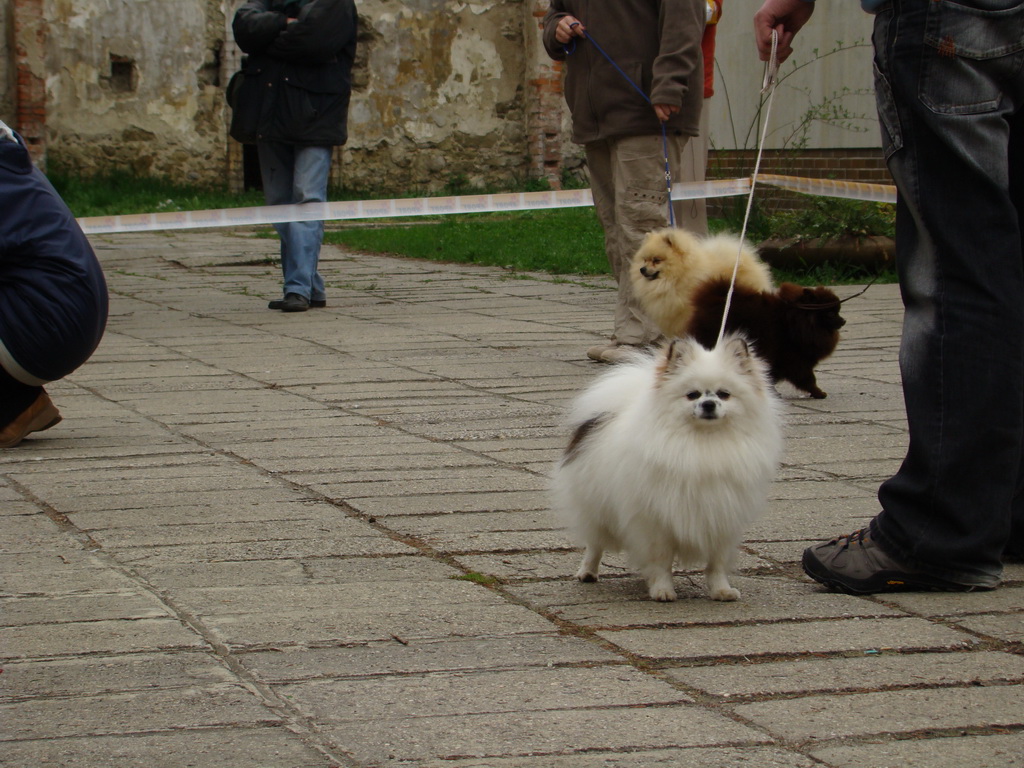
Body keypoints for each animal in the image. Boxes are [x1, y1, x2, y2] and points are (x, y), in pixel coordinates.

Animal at [552, 335, 782, 602]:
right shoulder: (656, 520)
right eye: (692, 395)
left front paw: (721, 590)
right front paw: (662, 589)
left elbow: (717, 562)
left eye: (724, 394)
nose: (709, 403)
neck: (705, 443)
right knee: (595, 544)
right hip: (597, 508)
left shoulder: (721, 517)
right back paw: (588, 572)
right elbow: (661, 560)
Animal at [688, 280, 847, 399]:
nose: (843, 320)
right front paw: (818, 392)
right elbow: (808, 378)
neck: (798, 322)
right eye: (831, 313)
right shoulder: (795, 359)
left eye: (838, 311)